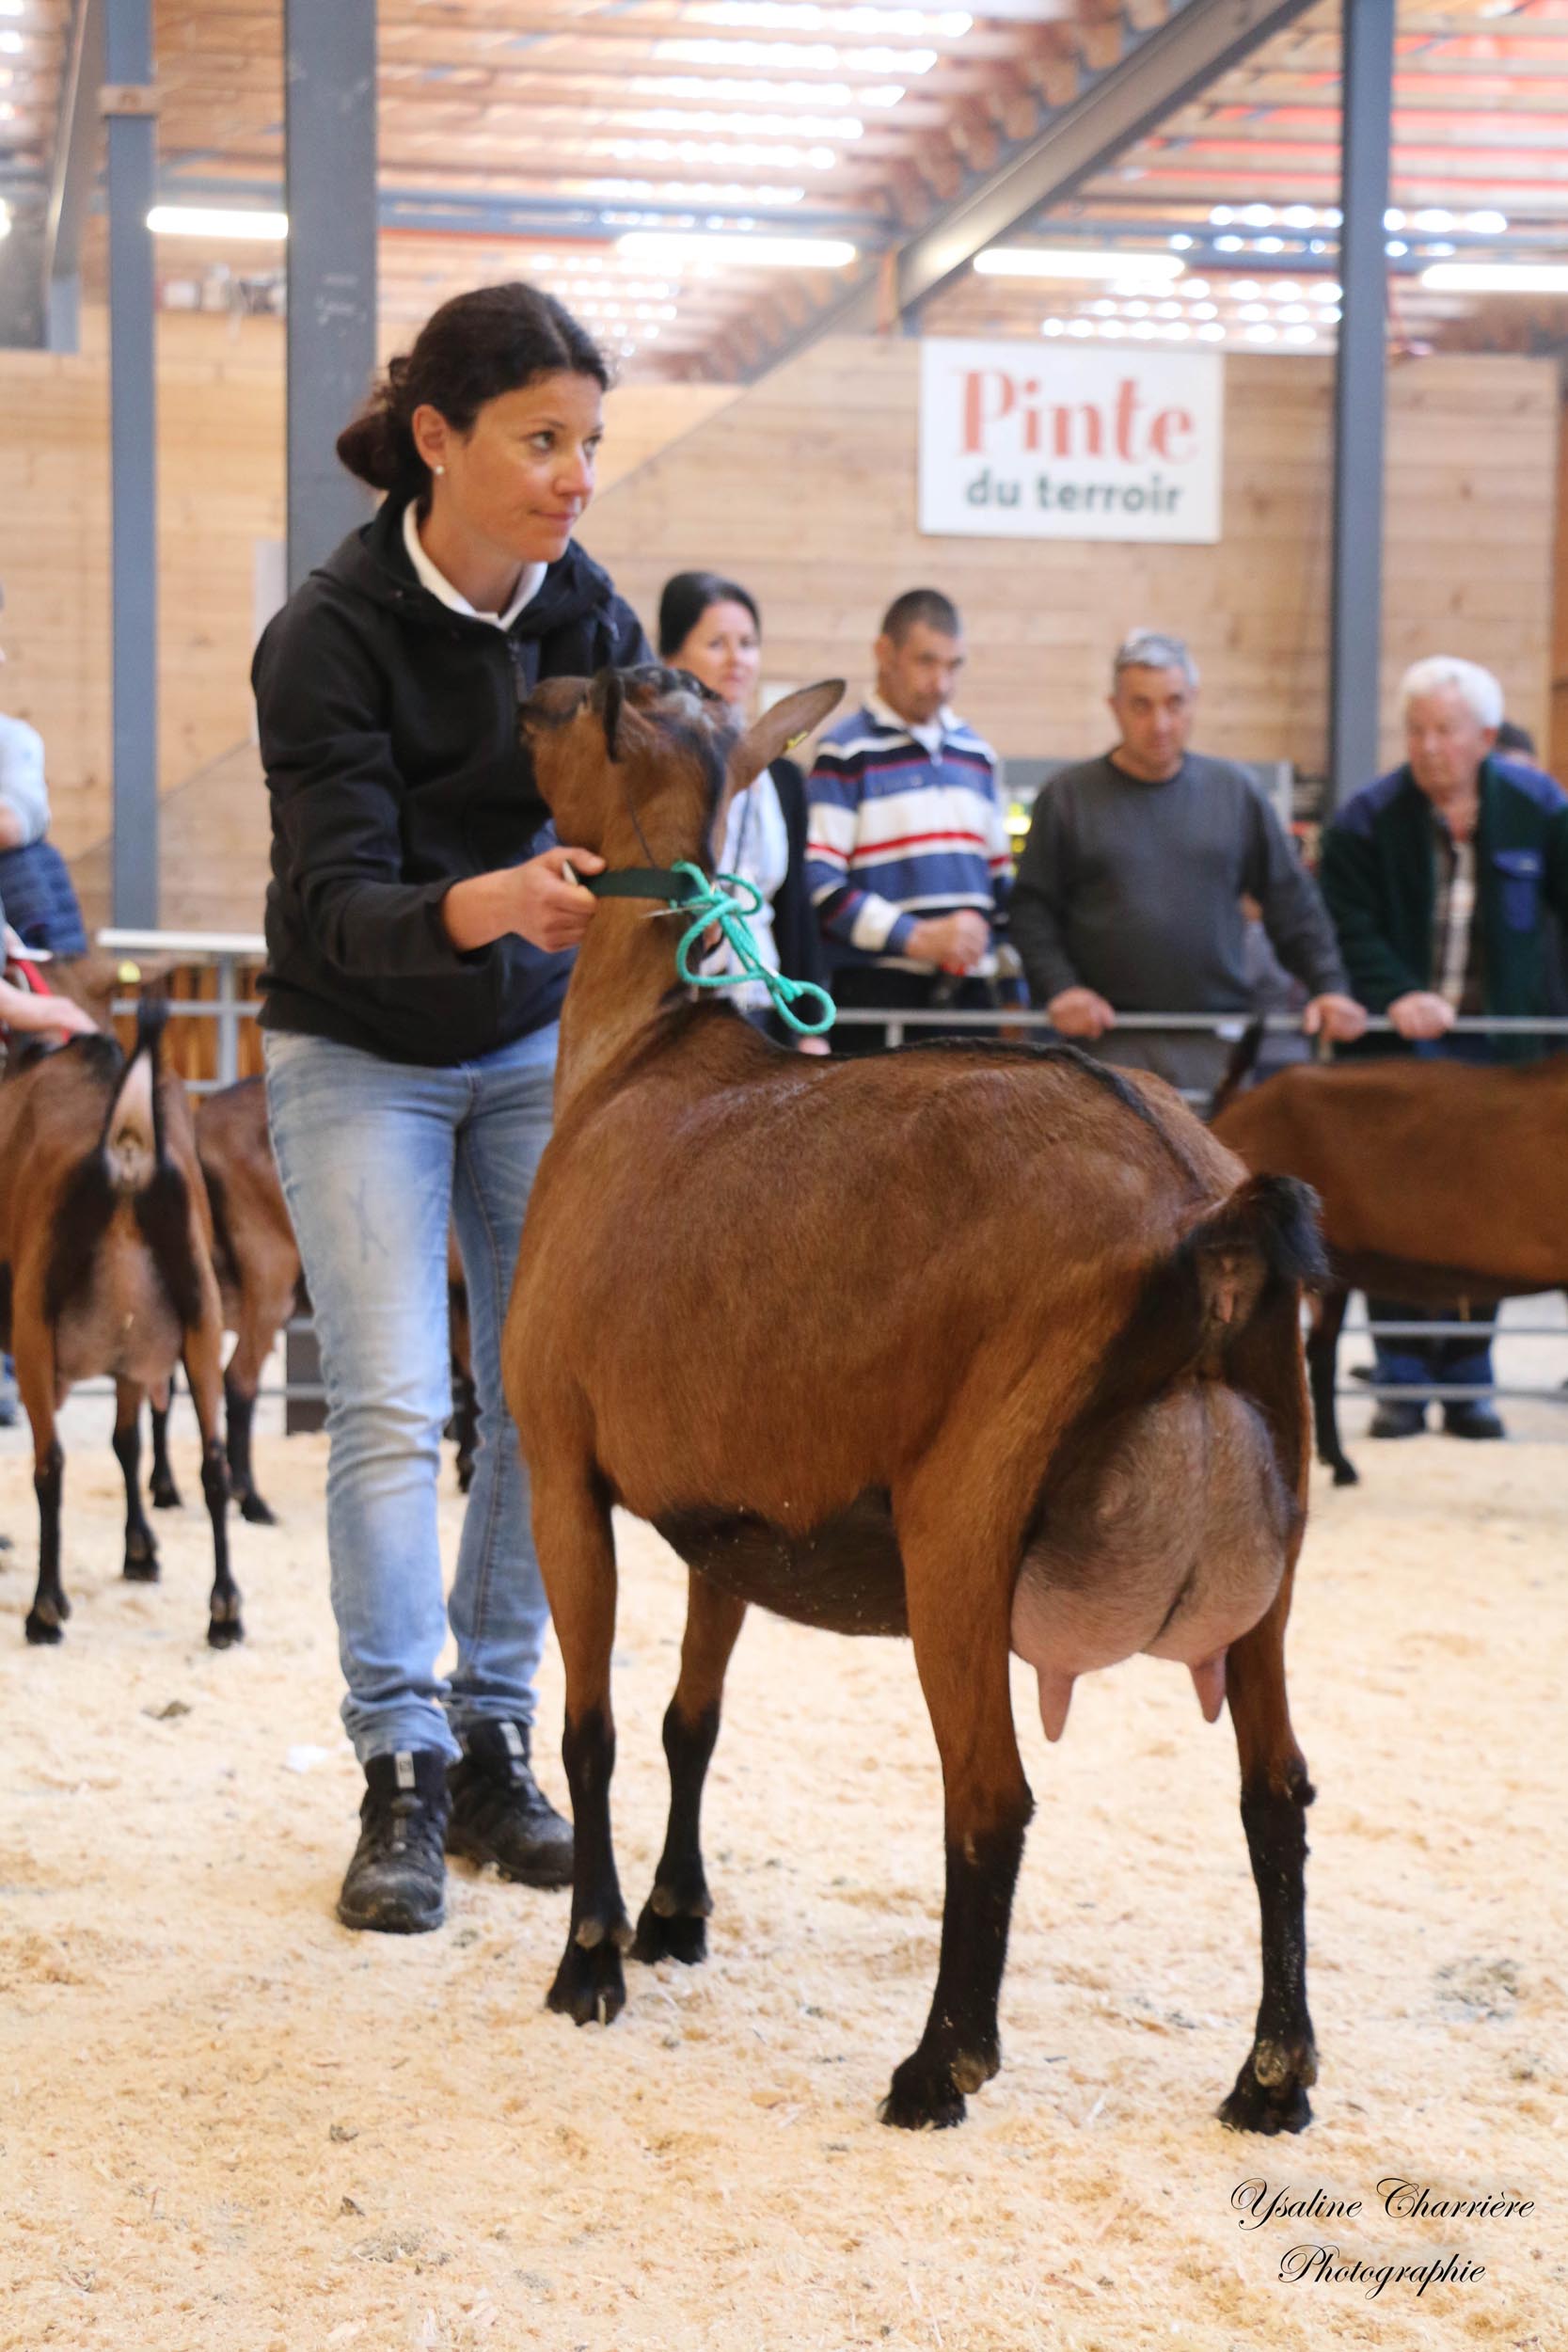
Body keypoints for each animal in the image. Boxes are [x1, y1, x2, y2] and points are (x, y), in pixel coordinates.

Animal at [0, 1004, 240, 1646]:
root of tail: (128, 1145)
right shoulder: (134, 1357)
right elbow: (127, 1442)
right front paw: (139, 1551)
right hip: (198, 1318)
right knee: (213, 1459)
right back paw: (225, 1612)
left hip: (33, 1326)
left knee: (50, 1465)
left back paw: (45, 1610)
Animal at [502, 666, 1328, 2134]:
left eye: (602, 692)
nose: (520, 688)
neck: (632, 1060)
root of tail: (1201, 1213)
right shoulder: (728, 1516)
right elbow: (690, 1720)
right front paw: (673, 1918)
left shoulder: (560, 1467)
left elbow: (592, 1726)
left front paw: (591, 1958)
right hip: (1273, 1552)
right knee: (1272, 1792)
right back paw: (1270, 2075)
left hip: (960, 1523)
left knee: (988, 1797)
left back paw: (939, 2062)